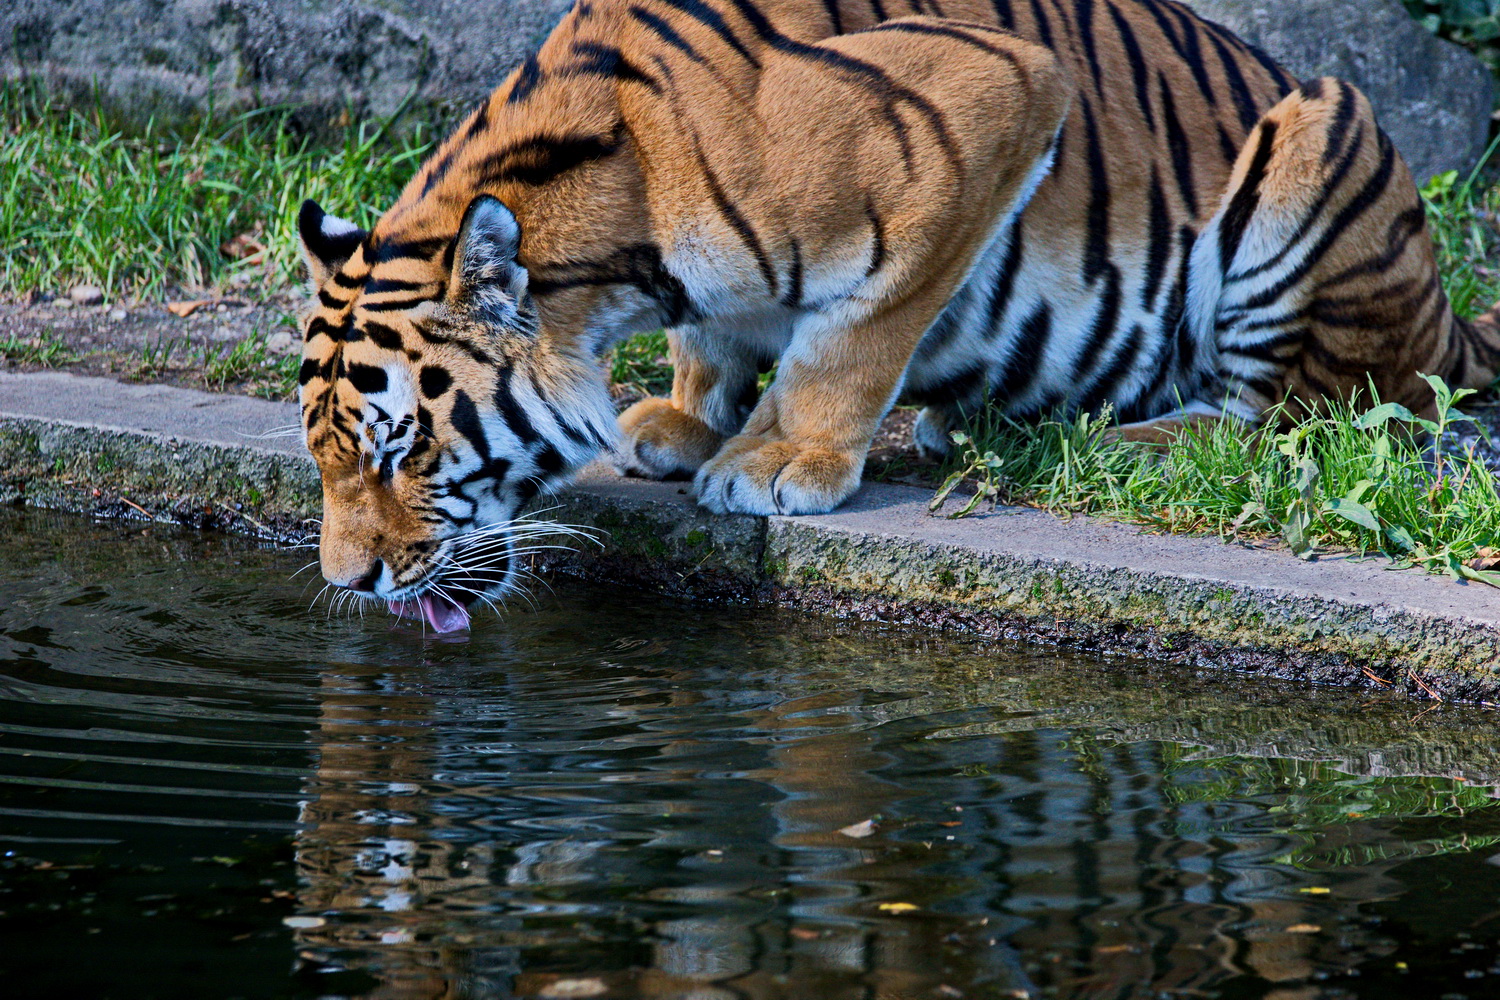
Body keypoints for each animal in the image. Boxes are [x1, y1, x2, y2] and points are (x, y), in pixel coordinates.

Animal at [292, 0, 1500, 629]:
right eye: (327, 461)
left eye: (399, 451)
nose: (348, 584)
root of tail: (1449, 312)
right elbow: (718, 334)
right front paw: (685, 421)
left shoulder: (991, 106)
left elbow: (850, 341)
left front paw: (781, 460)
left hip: (1319, 134)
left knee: (1295, 411)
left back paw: (1136, 441)